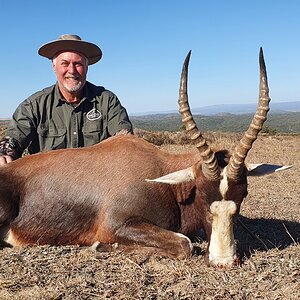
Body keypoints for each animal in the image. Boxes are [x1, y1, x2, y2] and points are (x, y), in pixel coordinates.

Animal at [0, 48, 290, 266]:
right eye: (202, 194)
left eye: (244, 194)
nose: (223, 261)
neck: (161, 176)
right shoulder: (116, 224)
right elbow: (185, 244)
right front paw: (100, 247)